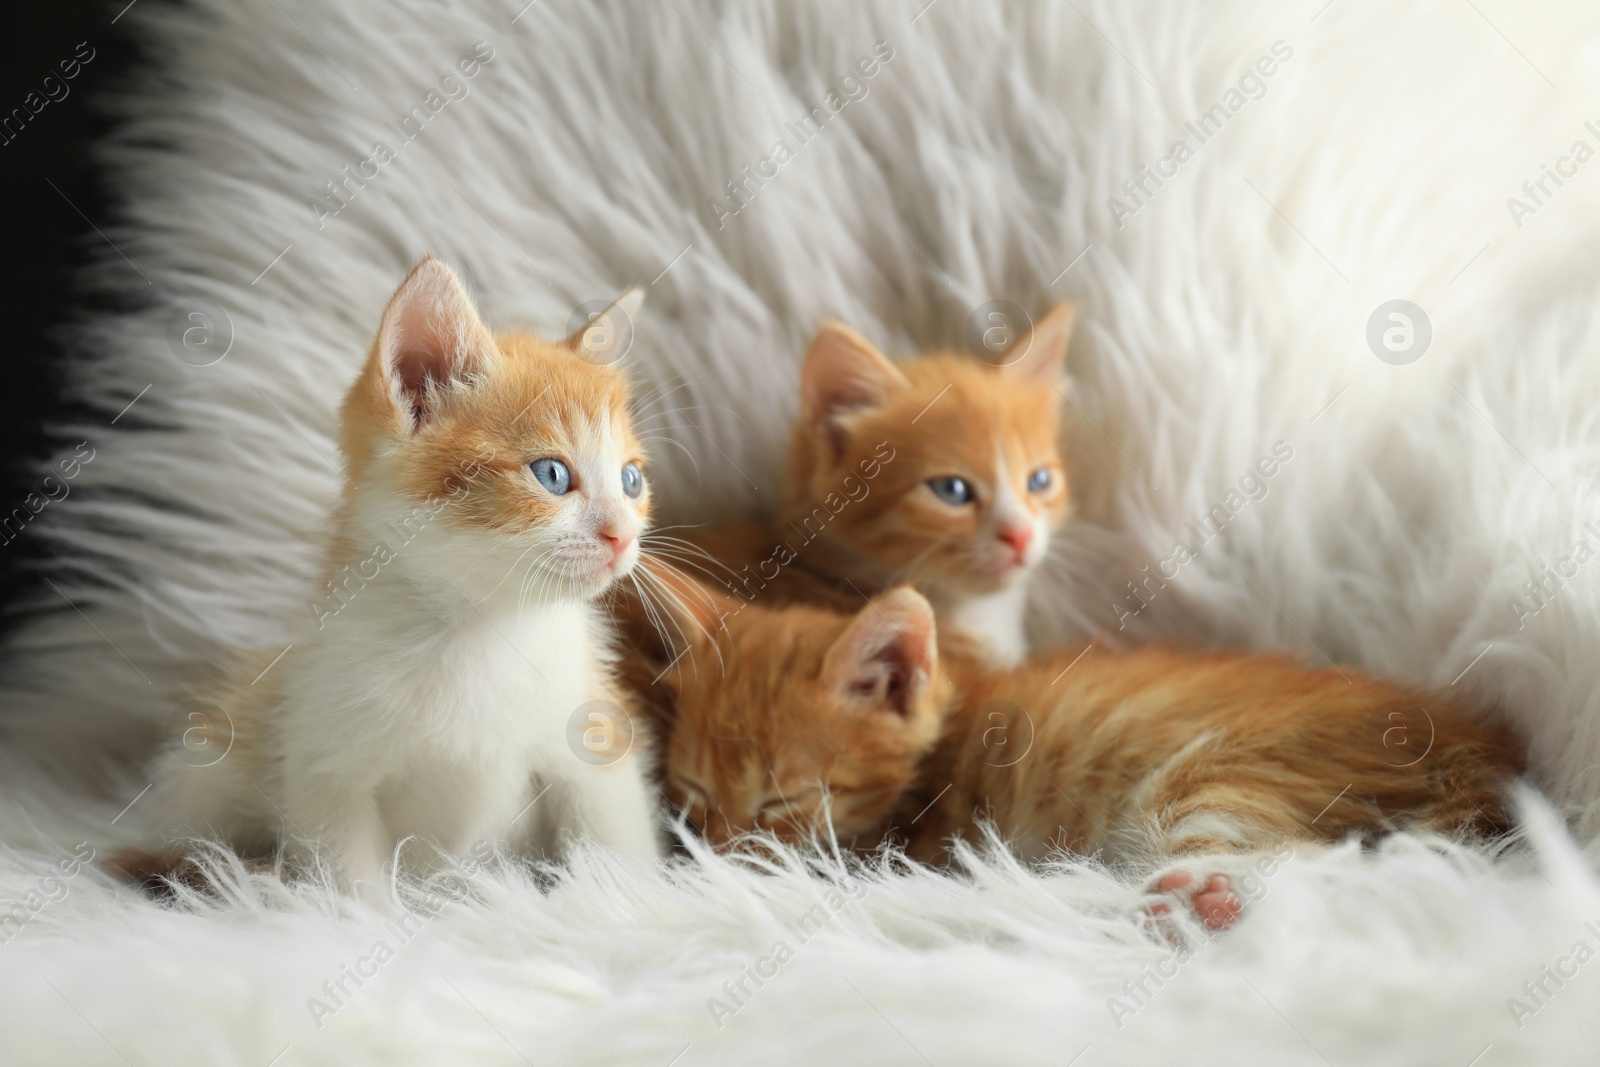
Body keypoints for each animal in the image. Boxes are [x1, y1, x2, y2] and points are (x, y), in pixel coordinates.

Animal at [124, 259, 662, 895]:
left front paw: (620, 899)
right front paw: (359, 911)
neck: (480, 629)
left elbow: (612, 834)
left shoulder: (591, 728)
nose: (622, 536)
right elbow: (348, 875)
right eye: (551, 474)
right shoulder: (324, 762)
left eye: (631, 480)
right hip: (209, 763)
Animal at [652, 579, 1523, 921]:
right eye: (692, 796)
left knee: (1327, 866)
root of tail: (1476, 749)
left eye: (783, 804)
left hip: (1216, 773)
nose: (717, 862)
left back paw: (1202, 900)